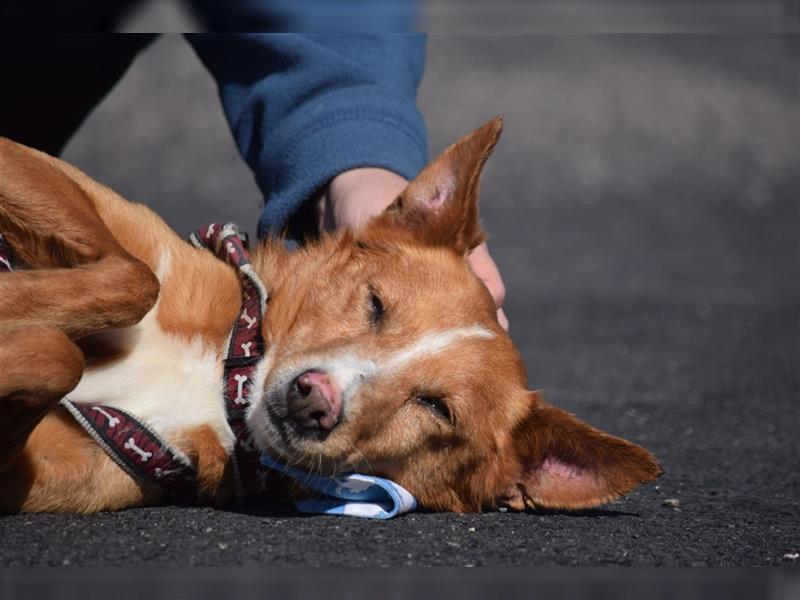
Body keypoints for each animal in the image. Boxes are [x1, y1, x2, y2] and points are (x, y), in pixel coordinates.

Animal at [0, 118, 664, 516]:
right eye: (375, 304)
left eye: (436, 408)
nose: (313, 398)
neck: (221, 382)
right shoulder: (33, 167)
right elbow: (139, 279)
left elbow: (61, 349)